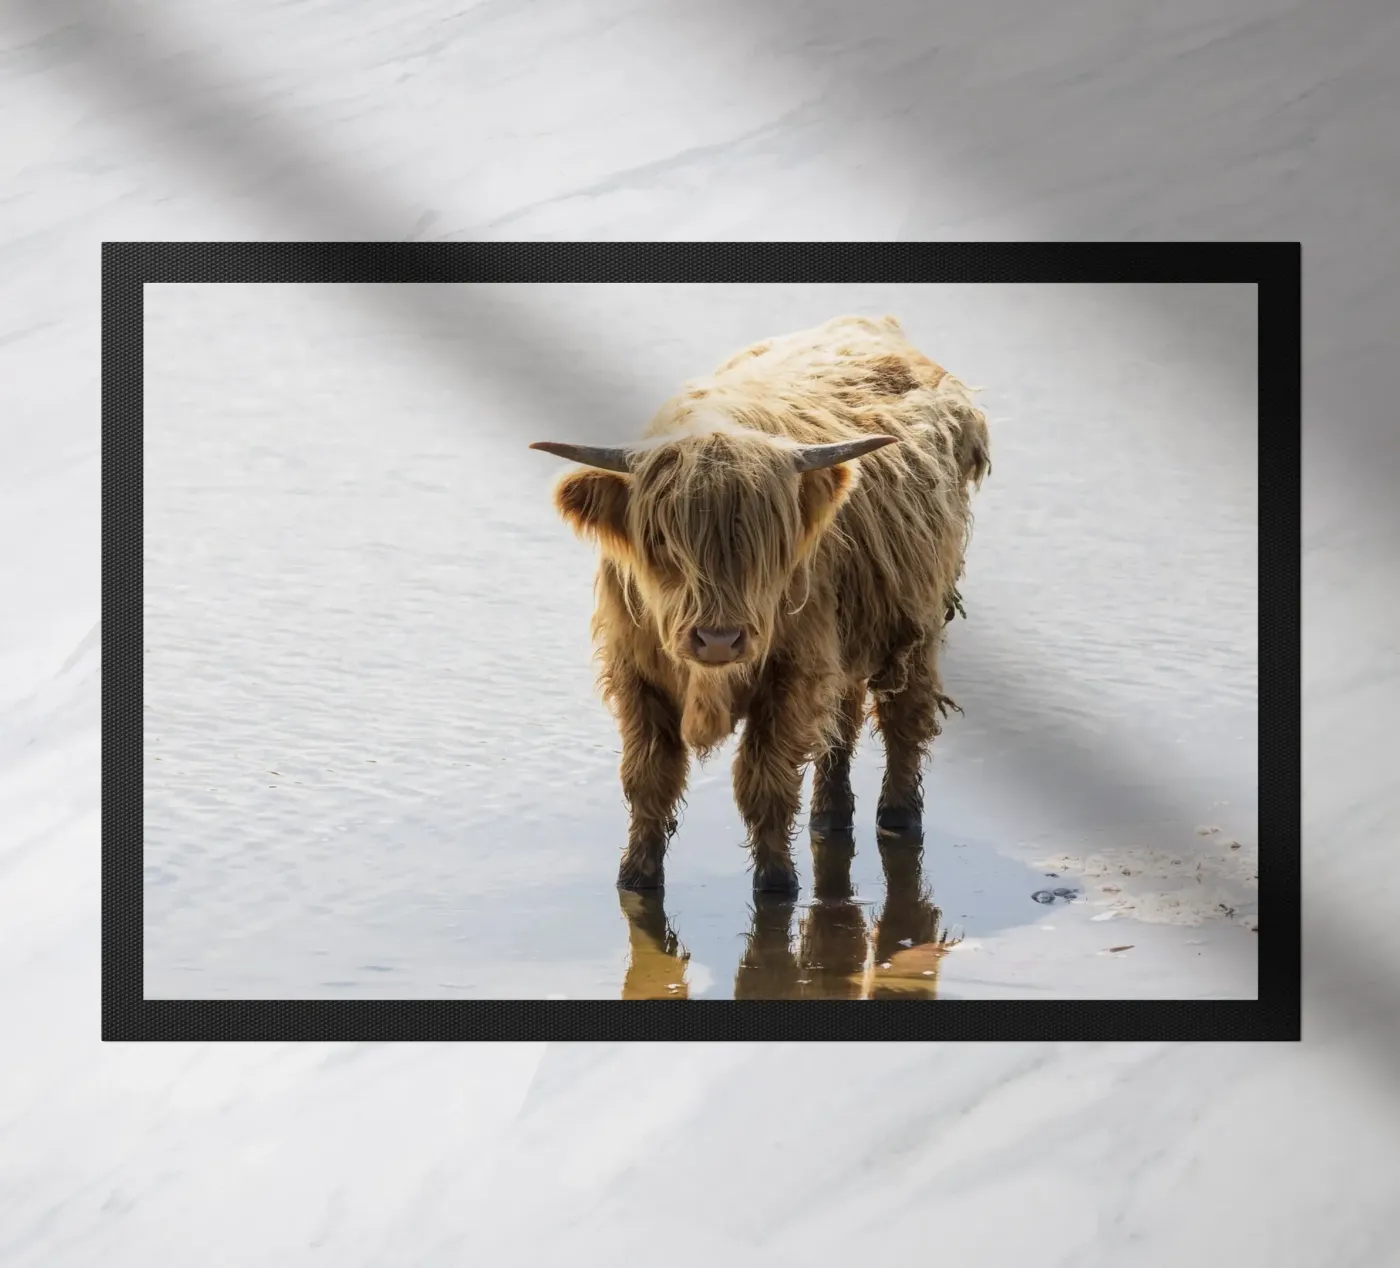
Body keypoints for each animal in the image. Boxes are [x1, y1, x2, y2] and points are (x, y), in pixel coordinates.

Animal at [532, 314, 991, 896]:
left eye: (767, 544)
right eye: (661, 539)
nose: (718, 639)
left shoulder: (793, 672)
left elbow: (765, 782)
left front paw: (776, 883)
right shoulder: (636, 673)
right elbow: (648, 780)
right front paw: (635, 877)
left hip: (917, 624)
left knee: (903, 718)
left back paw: (898, 817)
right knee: (840, 723)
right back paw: (830, 817)